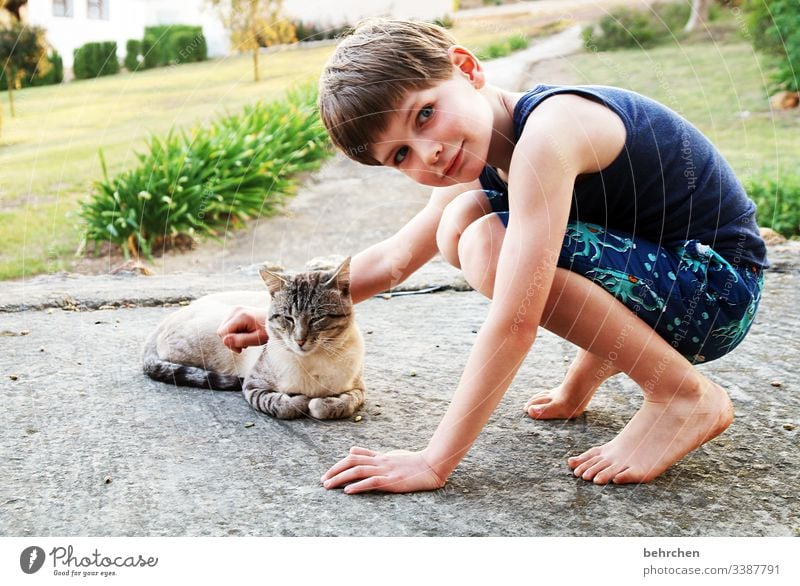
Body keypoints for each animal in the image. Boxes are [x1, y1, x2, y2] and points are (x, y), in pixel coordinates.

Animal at [143, 258, 366, 418]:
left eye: (317, 318)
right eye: (288, 318)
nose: (300, 340)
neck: (311, 363)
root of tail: (168, 317)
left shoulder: (358, 389)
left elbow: (338, 404)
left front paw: (320, 403)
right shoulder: (253, 385)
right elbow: (283, 405)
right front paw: (301, 401)